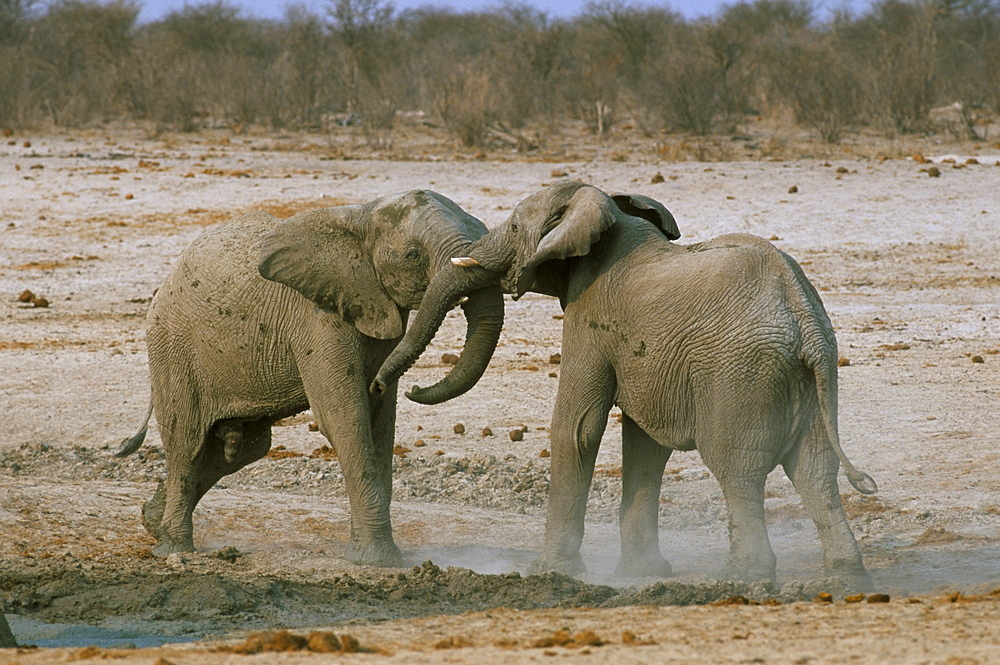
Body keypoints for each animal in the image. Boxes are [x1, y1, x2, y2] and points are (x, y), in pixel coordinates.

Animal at [118, 189, 504, 564]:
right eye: (413, 255)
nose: (407, 385)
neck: (363, 214)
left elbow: (380, 423)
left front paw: (367, 554)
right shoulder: (318, 316)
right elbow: (345, 416)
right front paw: (378, 560)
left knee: (242, 449)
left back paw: (153, 522)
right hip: (174, 347)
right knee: (186, 441)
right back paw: (175, 549)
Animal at [374, 180, 876, 588]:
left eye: (515, 226)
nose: (389, 388)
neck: (606, 213)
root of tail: (803, 316)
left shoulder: (589, 315)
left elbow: (576, 428)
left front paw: (550, 572)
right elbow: (645, 445)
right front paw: (640, 574)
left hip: (740, 375)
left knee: (739, 470)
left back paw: (742, 579)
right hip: (809, 377)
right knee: (814, 471)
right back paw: (847, 577)